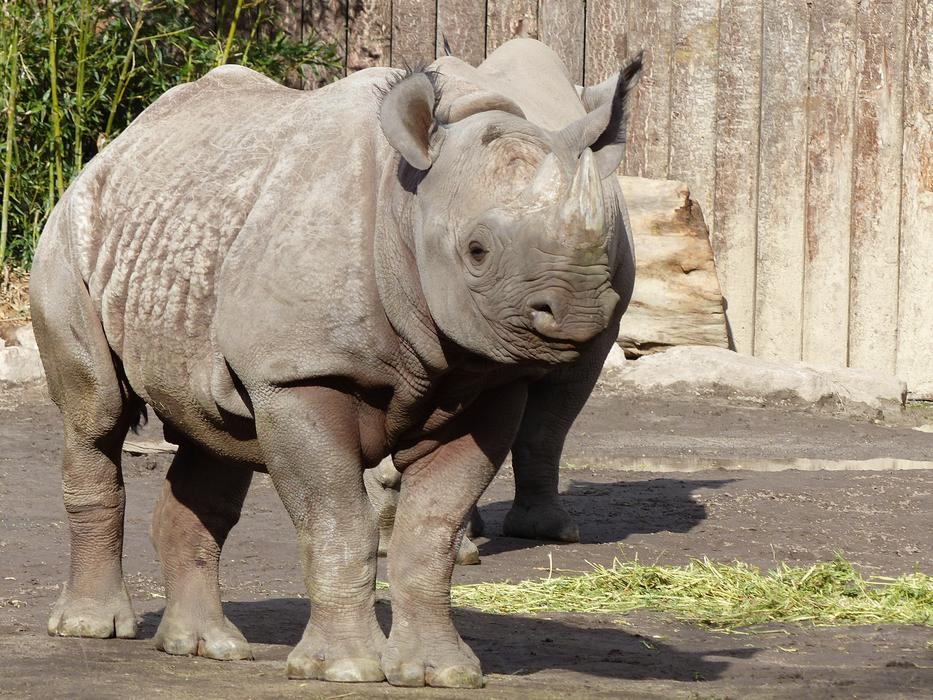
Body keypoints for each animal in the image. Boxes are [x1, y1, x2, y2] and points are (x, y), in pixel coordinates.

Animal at [30, 38, 641, 688]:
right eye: (476, 252)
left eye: (606, 241)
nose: (581, 310)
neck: (408, 206)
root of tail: (117, 146)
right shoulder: (298, 374)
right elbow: (337, 520)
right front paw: (344, 669)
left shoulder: (489, 384)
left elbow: (432, 531)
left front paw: (439, 672)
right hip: (71, 232)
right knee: (97, 414)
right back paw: (91, 628)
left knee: (216, 433)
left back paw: (208, 647)